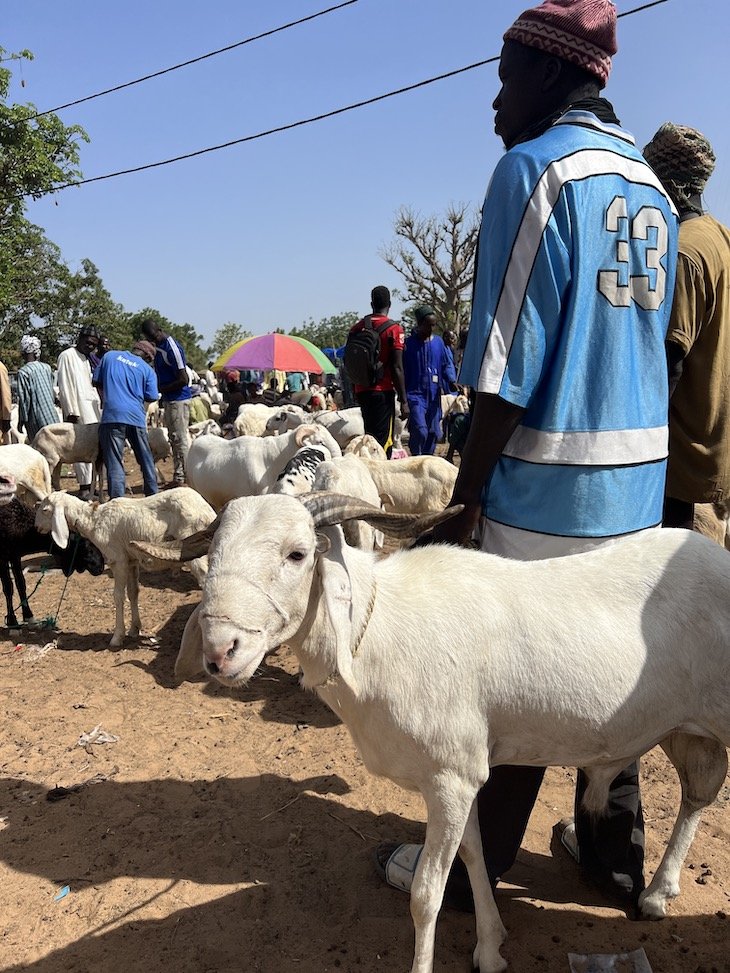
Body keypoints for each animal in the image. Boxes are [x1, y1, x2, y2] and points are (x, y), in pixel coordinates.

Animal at [0, 473, 105, 627]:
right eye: (84, 544)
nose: (101, 567)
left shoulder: (15, 555)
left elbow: (21, 584)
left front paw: (28, 615)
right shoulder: (2, 557)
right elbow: (8, 587)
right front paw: (12, 619)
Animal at [34, 488, 216, 647]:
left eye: (44, 510)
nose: (36, 527)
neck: (93, 520)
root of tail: (208, 512)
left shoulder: (118, 560)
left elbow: (118, 596)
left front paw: (117, 637)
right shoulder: (131, 561)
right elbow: (133, 592)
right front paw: (134, 628)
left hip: (192, 546)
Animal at [134, 495, 730, 973]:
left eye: (297, 555)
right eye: (212, 554)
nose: (220, 651)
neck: (375, 631)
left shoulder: (451, 776)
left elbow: (425, 896)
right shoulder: (456, 777)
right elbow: (474, 856)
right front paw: (491, 948)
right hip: (681, 724)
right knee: (699, 791)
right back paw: (657, 893)